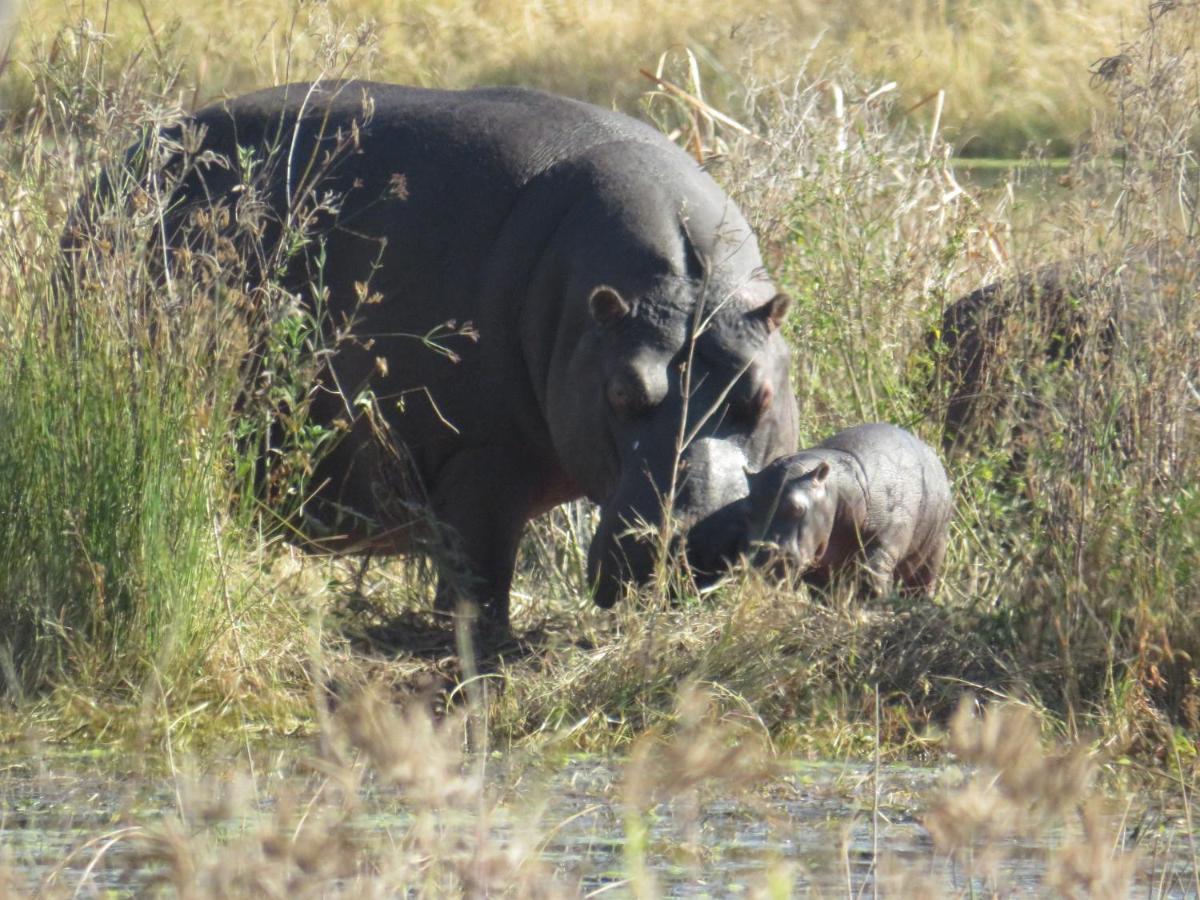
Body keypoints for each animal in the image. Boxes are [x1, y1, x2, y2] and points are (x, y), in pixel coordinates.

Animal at [79, 82, 801, 633]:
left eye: (761, 395)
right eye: (622, 393)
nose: (699, 541)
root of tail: (120, 165)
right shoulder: (480, 458)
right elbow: (480, 573)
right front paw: (484, 646)